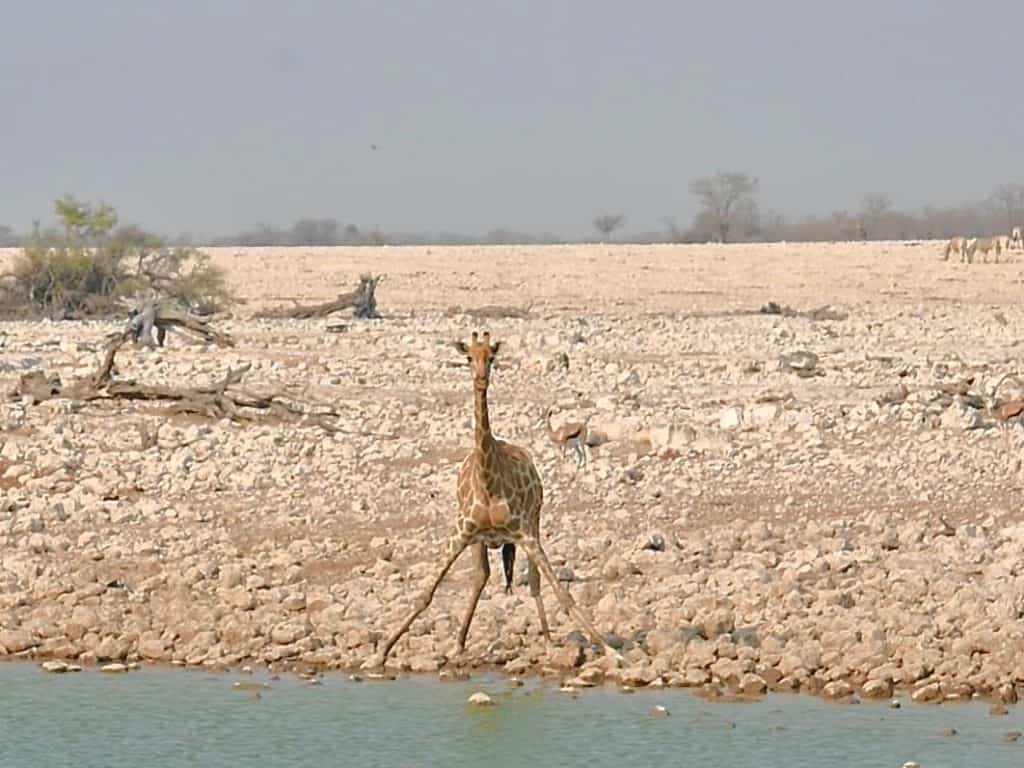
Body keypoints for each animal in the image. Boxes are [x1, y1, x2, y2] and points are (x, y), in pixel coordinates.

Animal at [369, 331, 617, 667]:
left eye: (492, 356)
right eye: (467, 357)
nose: (481, 379)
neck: (488, 484)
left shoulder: (524, 531)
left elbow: (561, 592)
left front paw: (611, 650)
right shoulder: (462, 531)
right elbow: (426, 594)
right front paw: (382, 652)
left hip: (534, 522)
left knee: (534, 580)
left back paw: (548, 639)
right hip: (481, 540)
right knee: (481, 577)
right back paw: (459, 643)